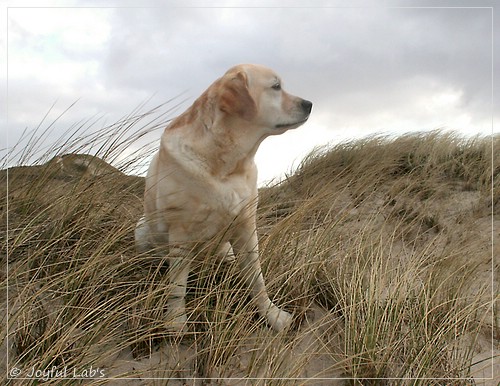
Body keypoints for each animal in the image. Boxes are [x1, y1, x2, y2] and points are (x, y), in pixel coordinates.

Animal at [135, 64, 310, 332]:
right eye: (276, 86)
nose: (309, 104)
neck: (228, 166)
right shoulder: (180, 231)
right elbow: (178, 285)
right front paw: (175, 320)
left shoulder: (246, 227)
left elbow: (257, 279)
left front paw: (272, 315)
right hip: (142, 229)